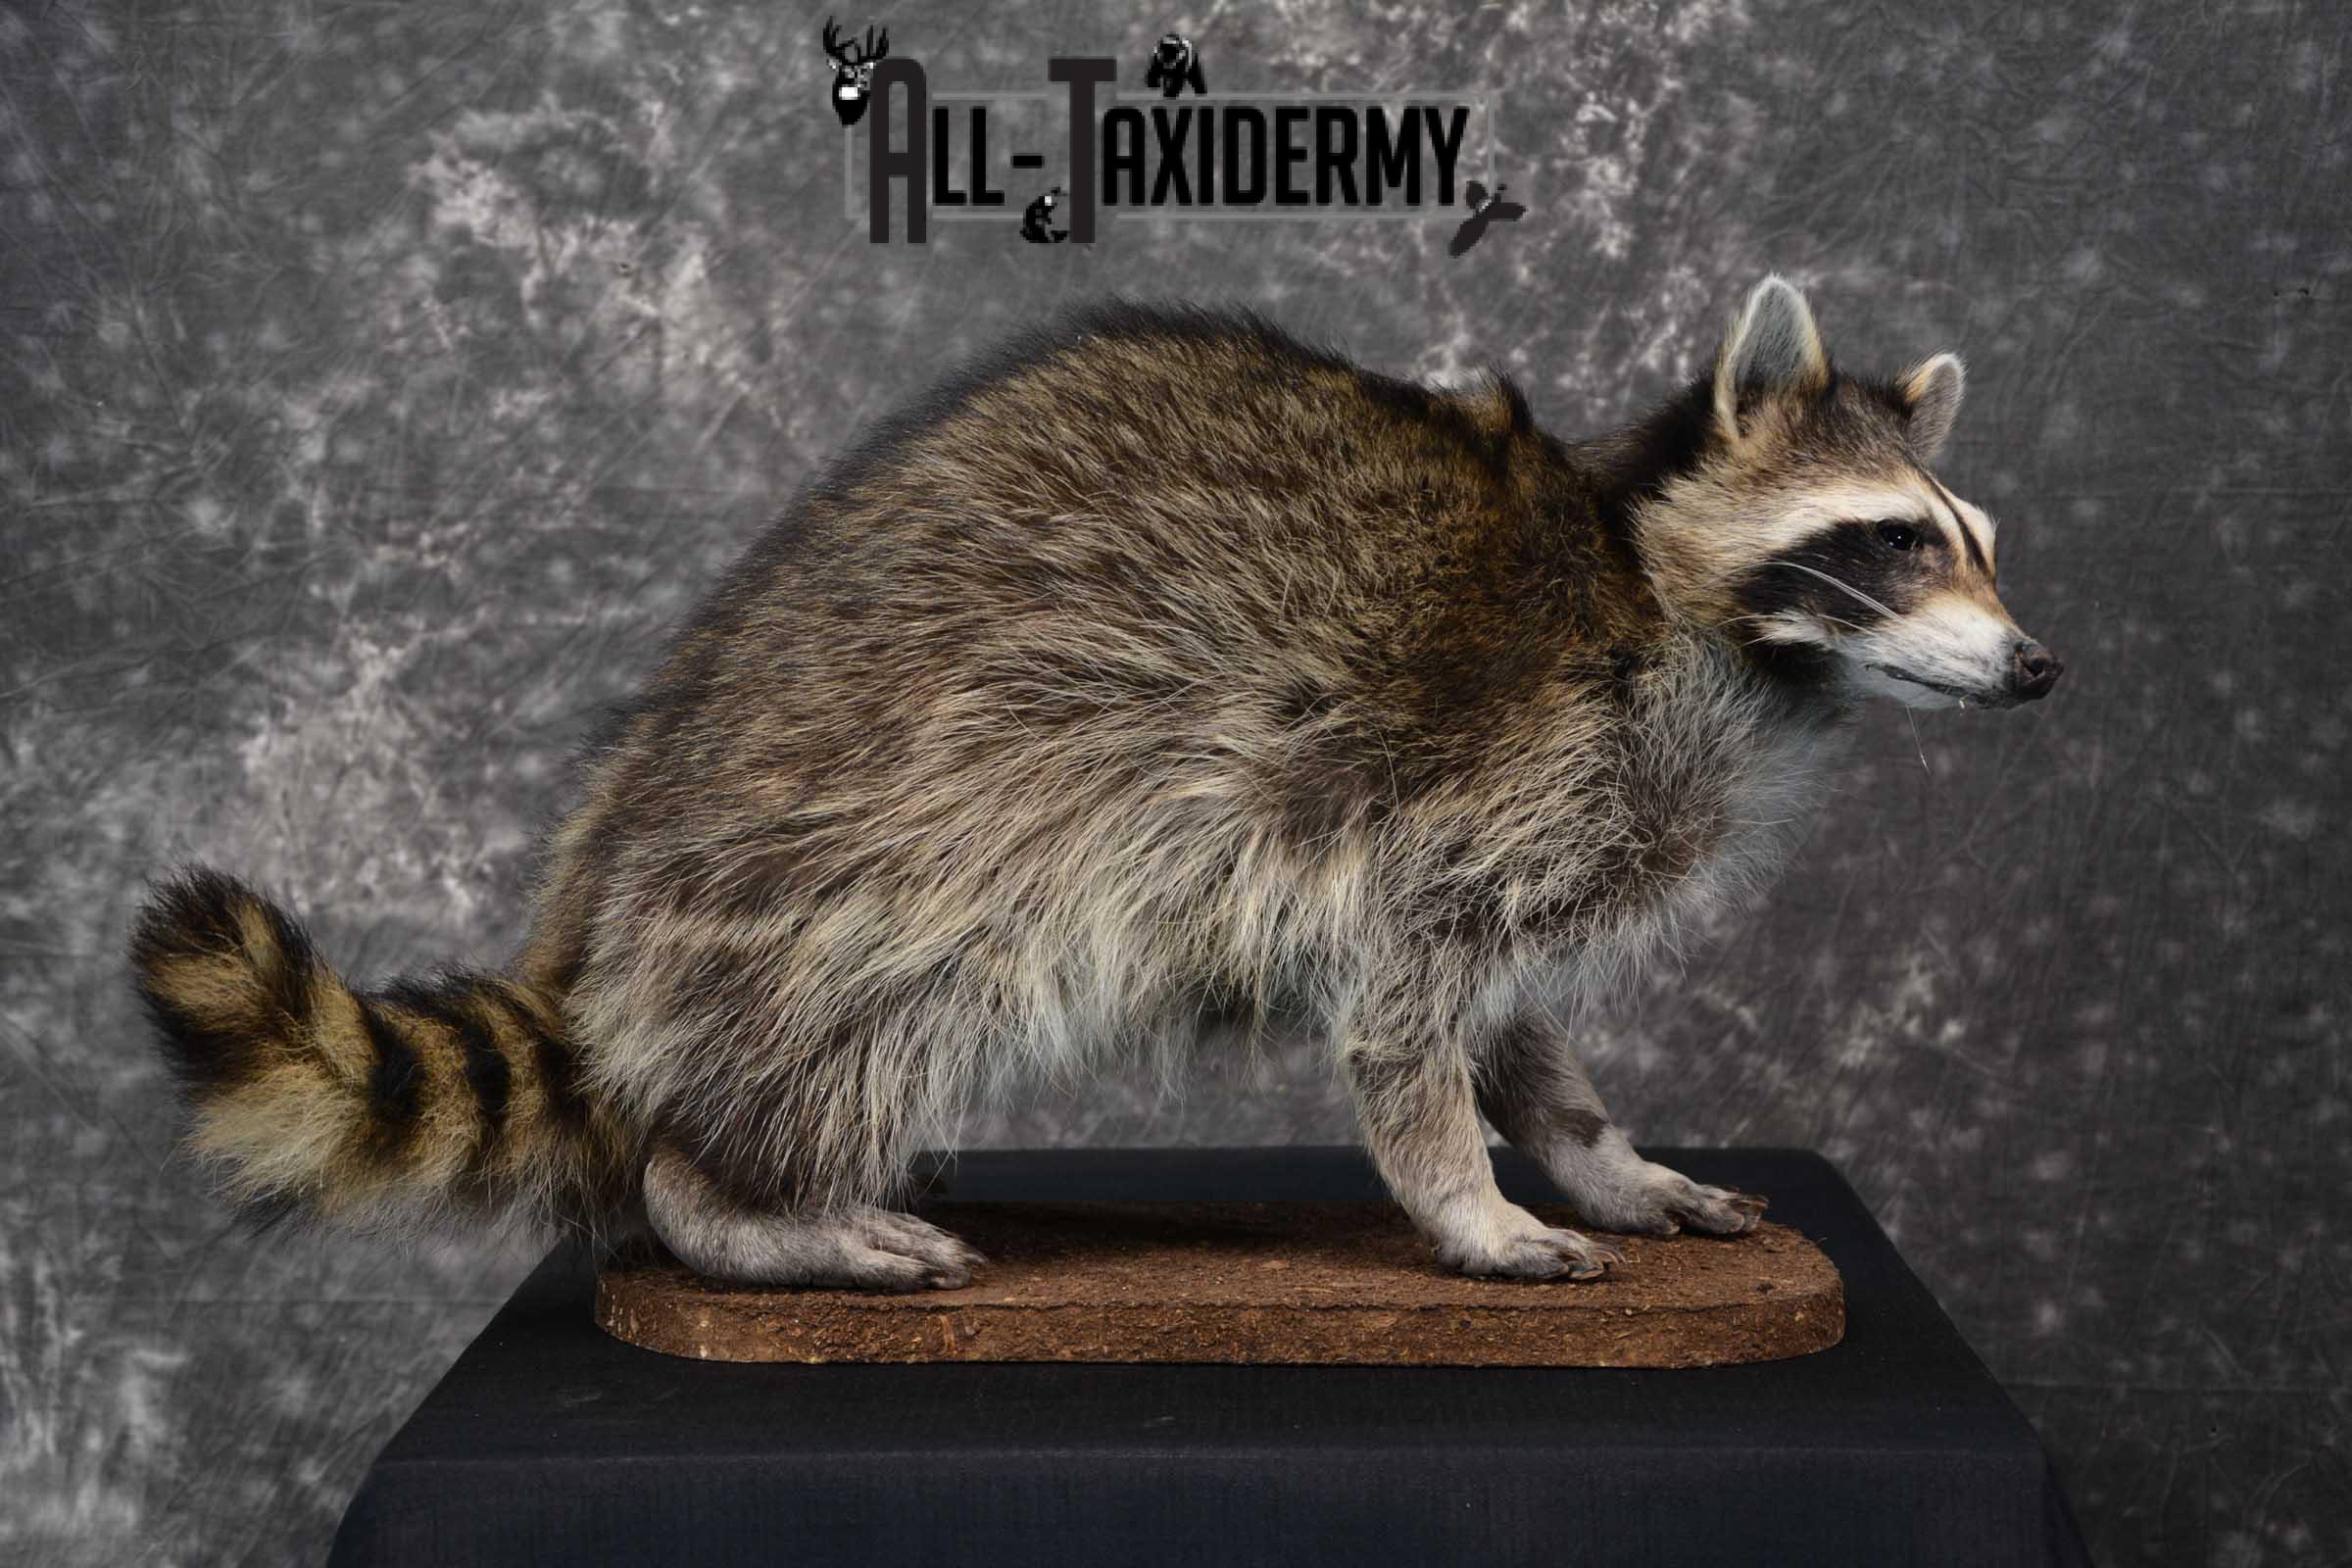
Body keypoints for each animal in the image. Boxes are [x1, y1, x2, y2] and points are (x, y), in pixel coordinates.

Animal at [131, 278, 2060, 1290]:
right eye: (1891, 543)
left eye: (1979, 540)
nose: (2040, 669)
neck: (1670, 601)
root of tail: (616, 849)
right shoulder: (1470, 766)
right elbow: (1405, 1007)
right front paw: (1473, 1201)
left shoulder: (1573, 811)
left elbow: (1516, 1018)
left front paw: (1598, 1152)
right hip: (885, 832)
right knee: (889, 992)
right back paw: (735, 1203)